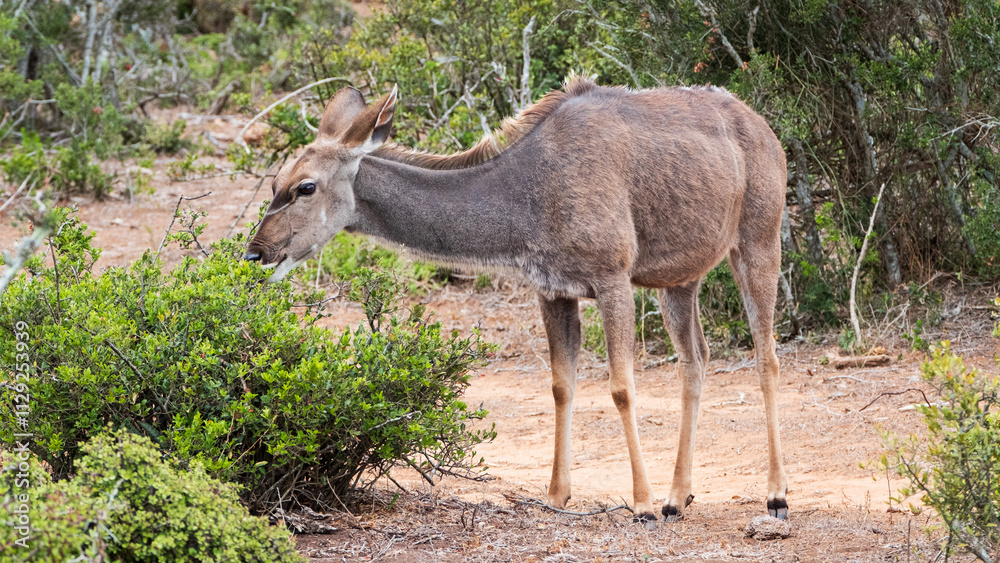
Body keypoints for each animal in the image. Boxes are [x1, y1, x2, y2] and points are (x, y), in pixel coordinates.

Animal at [243, 75, 789, 523]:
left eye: (305, 187)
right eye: (273, 183)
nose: (256, 252)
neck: (528, 195)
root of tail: (766, 131)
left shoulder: (612, 277)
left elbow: (620, 387)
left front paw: (642, 505)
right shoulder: (553, 290)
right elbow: (562, 384)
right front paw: (557, 495)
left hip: (758, 241)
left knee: (766, 356)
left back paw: (775, 497)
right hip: (680, 279)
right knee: (696, 357)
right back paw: (680, 498)